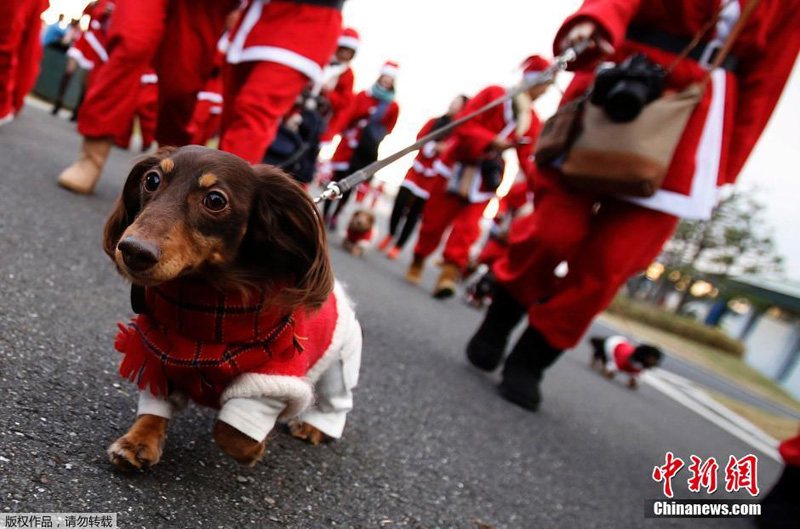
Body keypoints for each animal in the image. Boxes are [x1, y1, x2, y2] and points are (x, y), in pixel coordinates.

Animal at [103, 146, 362, 468]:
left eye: (215, 200)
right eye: (151, 180)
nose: (134, 251)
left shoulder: (273, 377)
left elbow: (230, 433)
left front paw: (255, 449)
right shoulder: (158, 361)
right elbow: (155, 408)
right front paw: (138, 441)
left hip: (339, 365)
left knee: (335, 403)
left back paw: (314, 427)